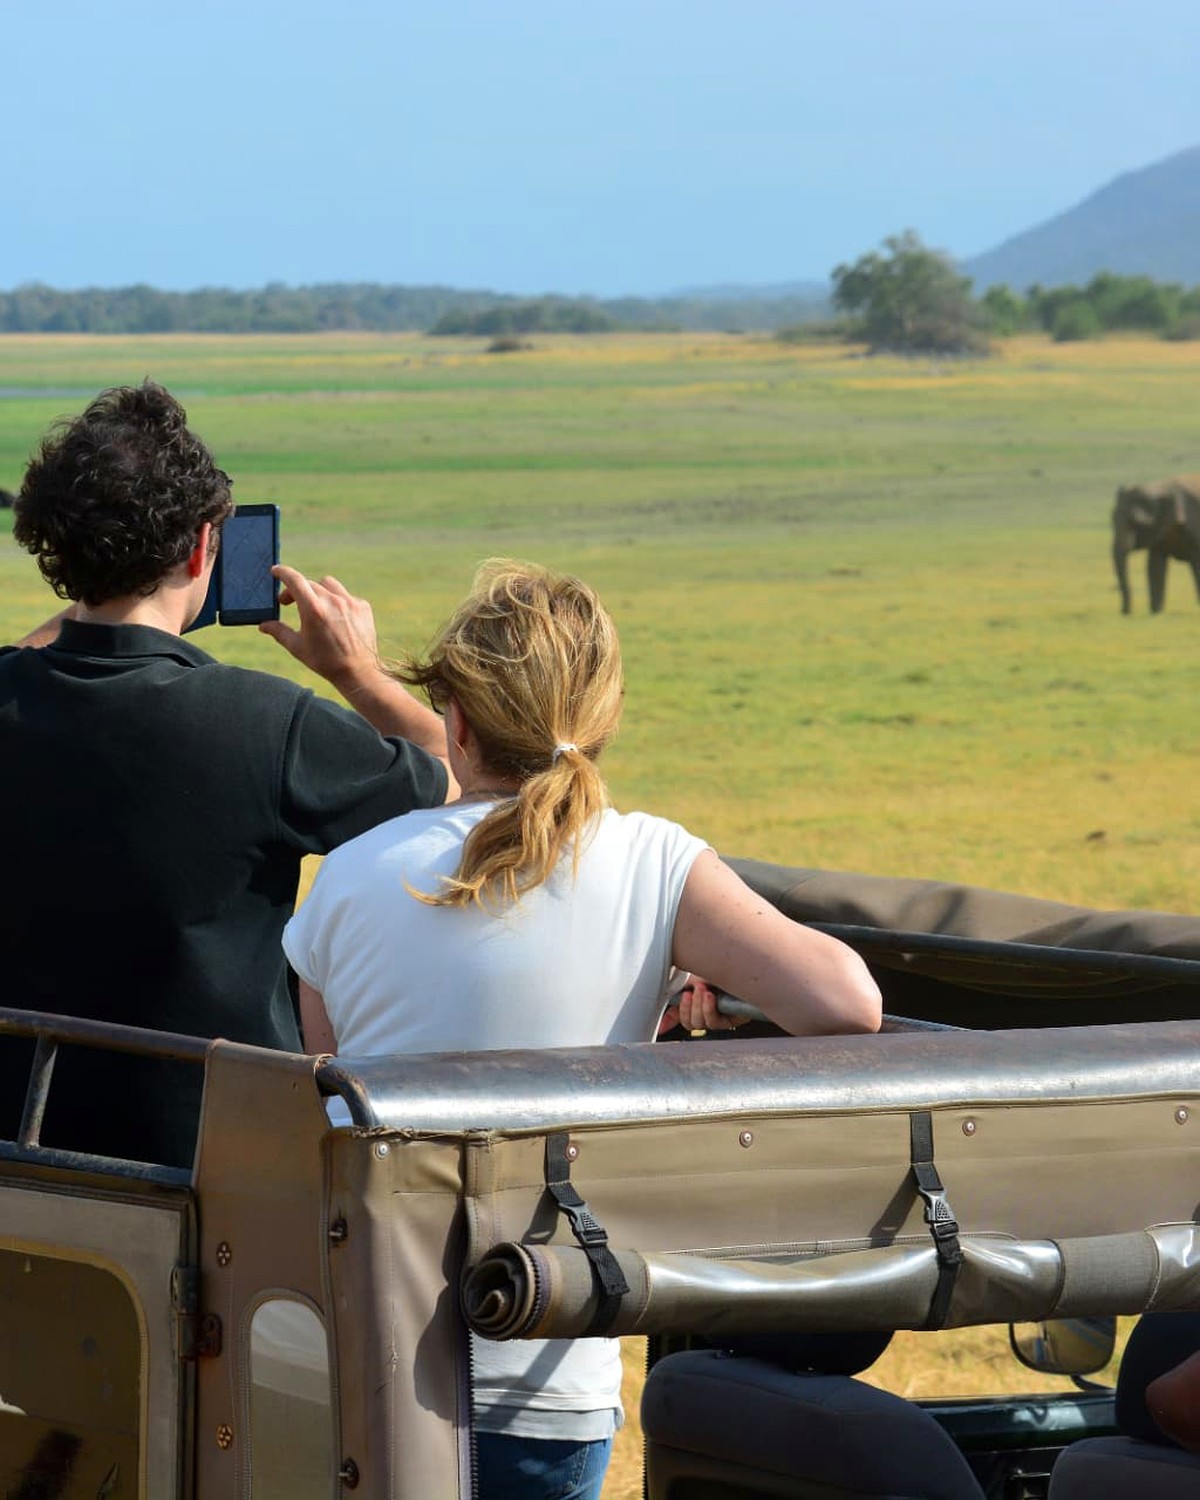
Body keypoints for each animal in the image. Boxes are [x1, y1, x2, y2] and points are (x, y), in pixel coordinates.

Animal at [1112, 476, 1200, 613]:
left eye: (1136, 522)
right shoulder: (1159, 533)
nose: (1124, 612)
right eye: (1112, 520)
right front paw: (1156, 613)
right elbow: (1154, 566)